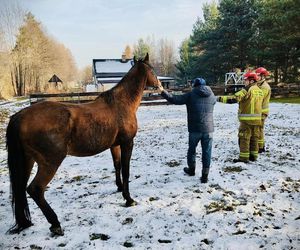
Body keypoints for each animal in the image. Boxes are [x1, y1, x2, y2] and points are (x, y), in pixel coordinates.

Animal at [5, 53, 161, 235]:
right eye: (152, 70)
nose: (159, 86)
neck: (121, 103)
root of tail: (20, 116)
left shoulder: (114, 145)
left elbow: (117, 166)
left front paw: (119, 188)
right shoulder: (127, 143)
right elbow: (126, 170)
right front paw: (129, 199)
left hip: (27, 161)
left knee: (20, 188)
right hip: (50, 162)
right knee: (35, 189)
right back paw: (55, 223)